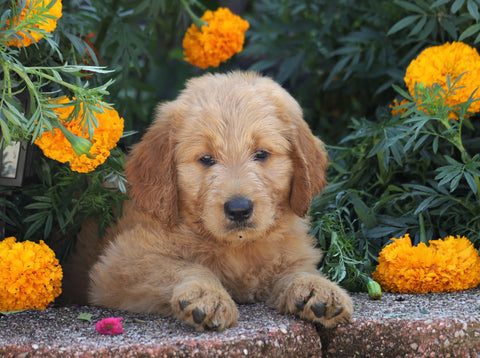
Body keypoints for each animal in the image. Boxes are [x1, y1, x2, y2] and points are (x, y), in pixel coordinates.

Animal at [71, 71, 352, 332]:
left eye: (261, 154)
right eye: (206, 159)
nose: (239, 209)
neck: (237, 248)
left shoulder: (293, 251)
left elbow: (298, 269)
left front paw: (316, 288)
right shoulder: (121, 262)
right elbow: (183, 266)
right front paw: (206, 295)